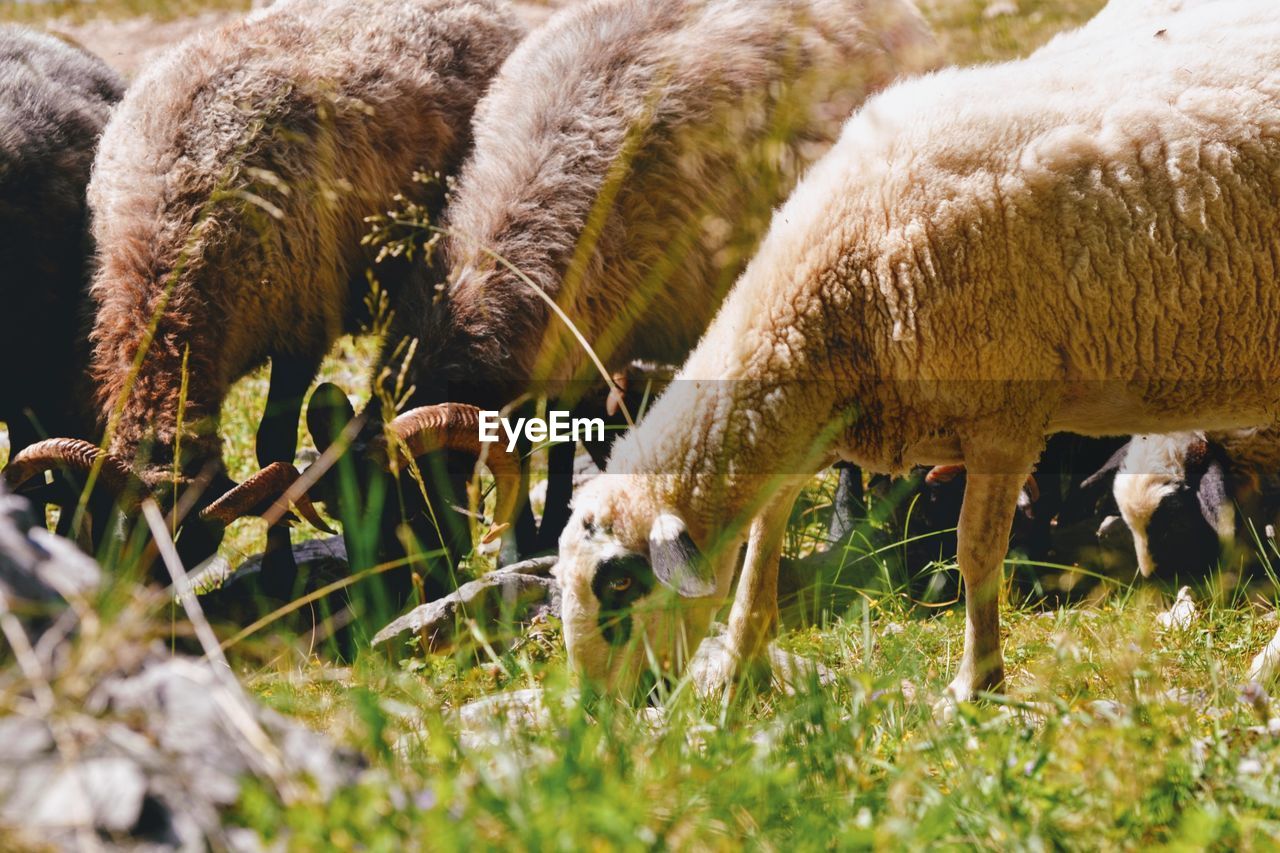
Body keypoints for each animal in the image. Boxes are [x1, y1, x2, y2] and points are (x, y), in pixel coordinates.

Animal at [312, 0, 942, 578]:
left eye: (409, 500)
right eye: (342, 511)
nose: (383, 596)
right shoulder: (578, 346)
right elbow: (556, 438)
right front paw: (537, 538)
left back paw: (850, 524)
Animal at [555, 0, 1280, 701]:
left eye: (619, 583)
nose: (602, 711)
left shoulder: (1003, 421)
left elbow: (975, 553)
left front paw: (976, 682)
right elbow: (762, 547)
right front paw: (739, 665)